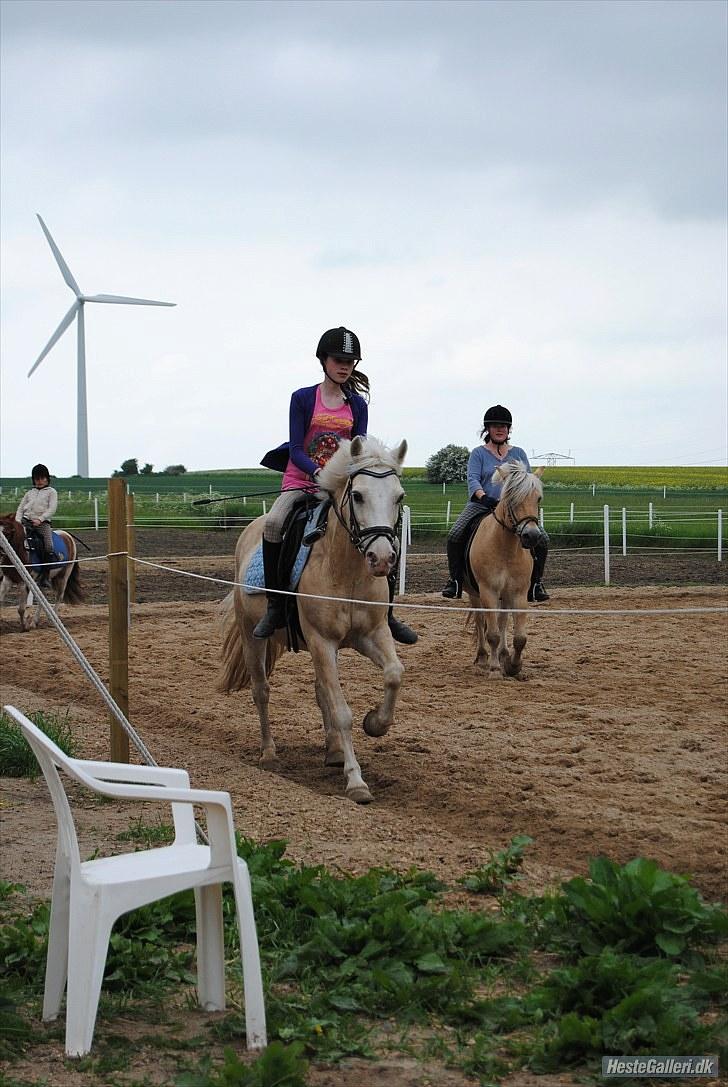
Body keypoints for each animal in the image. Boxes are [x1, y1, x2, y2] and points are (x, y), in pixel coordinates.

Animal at [217, 434, 410, 808]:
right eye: (358, 495)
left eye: (399, 497)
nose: (381, 559)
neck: (347, 571)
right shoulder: (322, 641)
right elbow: (342, 711)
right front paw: (356, 782)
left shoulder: (371, 634)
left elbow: (394, 674)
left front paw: (375, 724)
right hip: (253, 637)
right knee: (261, 691)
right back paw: (268, 754)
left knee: (321, 691)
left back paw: (333, 751)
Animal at [471, 460, 545, 678]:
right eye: (511, 499)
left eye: (538, 498)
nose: (531, 536)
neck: (506, 549)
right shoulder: (488, 591)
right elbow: (492, 634)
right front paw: (495, 668)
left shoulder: (519, 592)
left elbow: (519, 636)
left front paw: (513, 666)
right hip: (474, 593)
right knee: (480, 620)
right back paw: (482, 657)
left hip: (505, 595)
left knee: (503, 620)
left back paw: (503, 655)